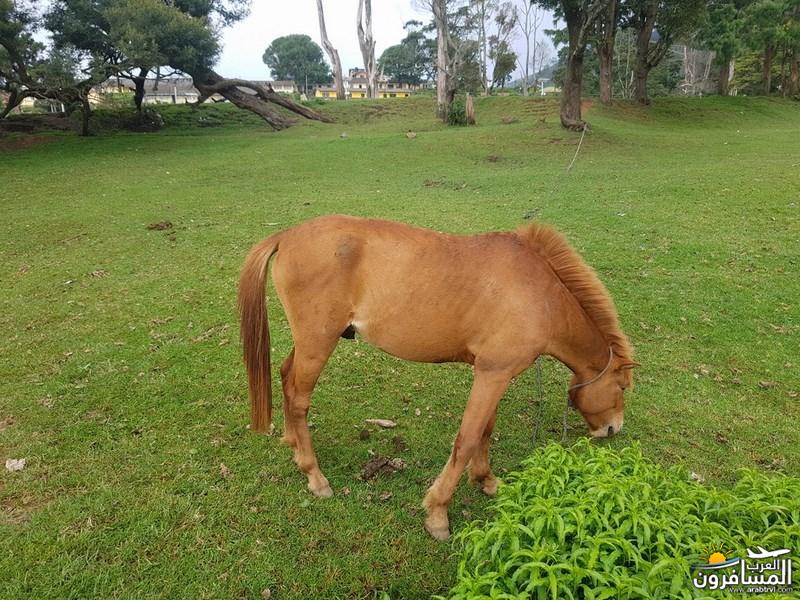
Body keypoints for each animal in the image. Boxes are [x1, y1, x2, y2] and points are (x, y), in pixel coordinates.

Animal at [238, 215, 638, 540]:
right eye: (620, 387)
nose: (613, 429)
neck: (540, 295)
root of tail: (287, 236)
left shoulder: (495, 373)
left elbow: (485, 432)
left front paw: (486, 480)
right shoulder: (492, 374)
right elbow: (467, 439)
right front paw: (438, 513)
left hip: (308, 344)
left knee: (286, 379)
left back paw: (292, 443)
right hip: (317, 344)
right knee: (299, 398)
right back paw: (314, 475)